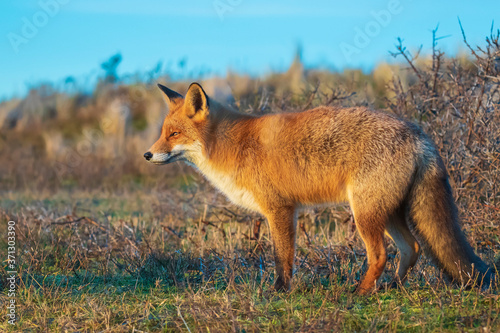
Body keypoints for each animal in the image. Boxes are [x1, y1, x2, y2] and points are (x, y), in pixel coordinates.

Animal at [145, 82, 492, 294]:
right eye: (163, 133)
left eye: (174, 134)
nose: (147, 155)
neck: (231, 146)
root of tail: (418, 134)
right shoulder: (283, 211)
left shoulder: (280, 209)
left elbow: (282, 257)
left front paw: (278, 292)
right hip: (387, 212)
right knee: (412, 249)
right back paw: (390, 288)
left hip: (365, 214)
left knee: (380, 255)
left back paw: (359, 293)